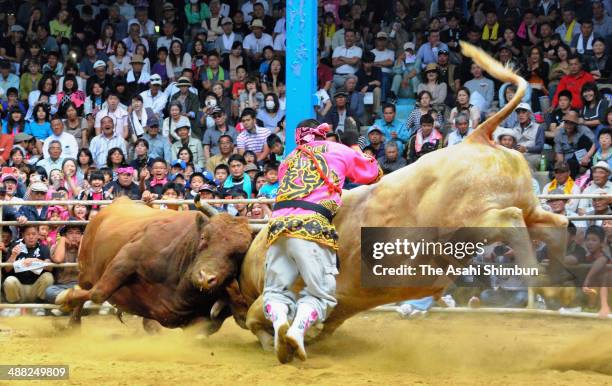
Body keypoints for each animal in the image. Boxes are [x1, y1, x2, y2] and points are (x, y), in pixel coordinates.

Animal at [61, 196, 252, 332]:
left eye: (240, 253)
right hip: (85, 271)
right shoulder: (128, 257)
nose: (205, 278)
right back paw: (73, 324)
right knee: (85, 288)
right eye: (204, 237)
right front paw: (64, 298)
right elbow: (98, 293)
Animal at [232, 42, 568, 350]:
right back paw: (557, 286)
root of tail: (477, 137)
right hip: (522, 209)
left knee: (510, 220)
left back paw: (543, 282)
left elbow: (262, 315)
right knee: (556, 225)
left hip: (466, 225)